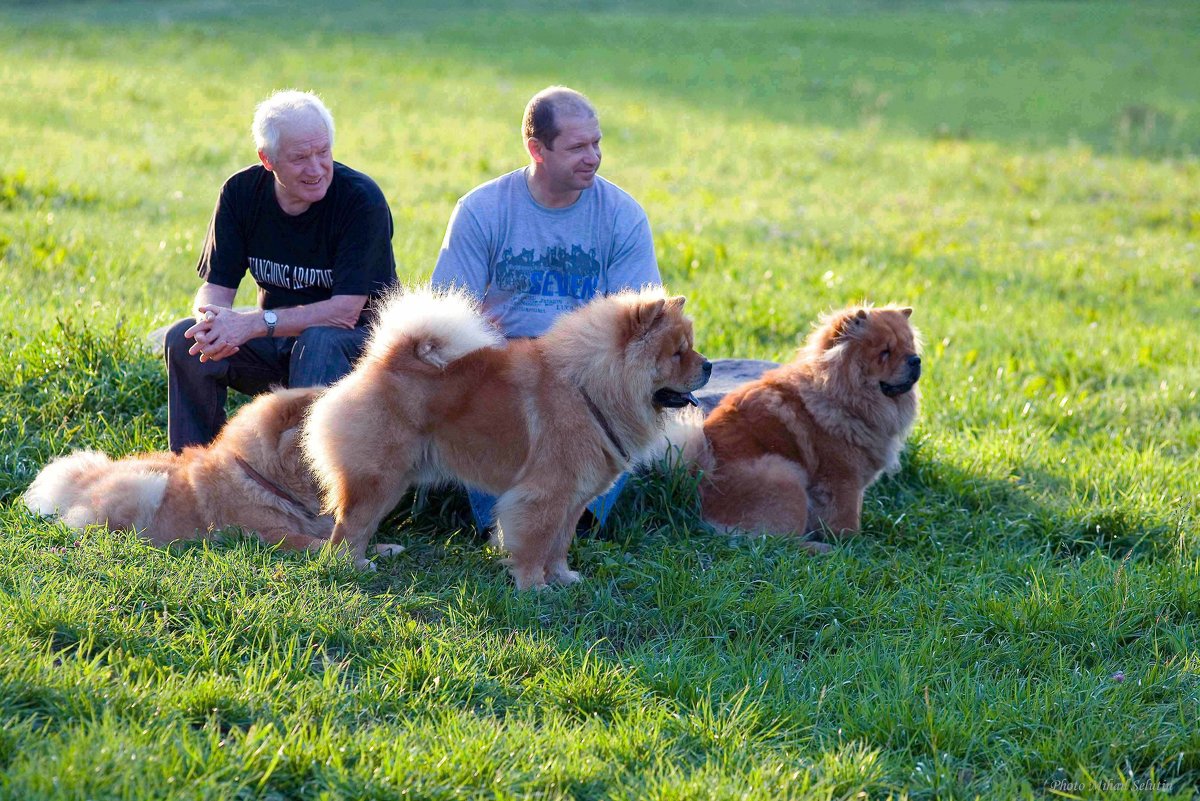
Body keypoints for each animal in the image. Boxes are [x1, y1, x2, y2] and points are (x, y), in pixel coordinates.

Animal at [302, 287, 710, 587]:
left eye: (690, 346)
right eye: (678, 353)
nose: (708, 364)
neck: (589, 387)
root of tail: (383, 362)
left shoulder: (573, 500)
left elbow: (560, 544)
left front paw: (563, 579)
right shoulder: (544, 496)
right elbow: (535, 545)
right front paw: (534, 588)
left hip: (394, 480)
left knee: (359, 525)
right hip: (380, 477)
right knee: (349, 527)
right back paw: (350, 566)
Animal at [667, 304, 916, 551]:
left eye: (909, 346)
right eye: (885, 352)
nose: (915, 360)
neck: (838, 397)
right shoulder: (842, 480)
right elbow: (846, 519)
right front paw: (854, 543)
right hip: (786, 476)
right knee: (780, 542)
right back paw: (822, 548)